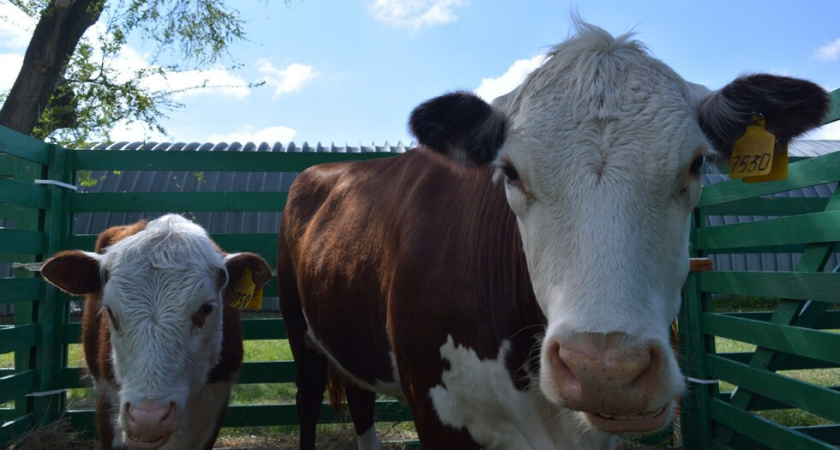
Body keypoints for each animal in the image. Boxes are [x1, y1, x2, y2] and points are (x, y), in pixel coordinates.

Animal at [276, 22, 828, 450]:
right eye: (510, 171)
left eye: (695, 165)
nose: (605, 369)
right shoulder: (436, 413)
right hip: (299, 333)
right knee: (306, 402)